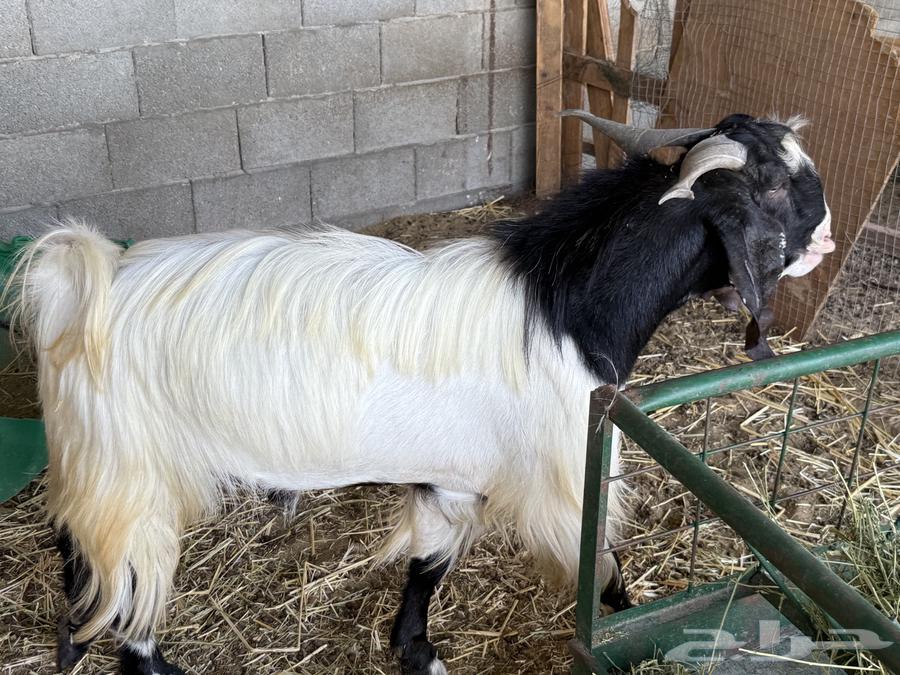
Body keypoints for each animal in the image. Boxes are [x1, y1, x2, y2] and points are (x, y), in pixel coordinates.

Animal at [4, 113, 834, 675]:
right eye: (775, 187)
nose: (827, 233)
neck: (565, 306)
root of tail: (80, 288)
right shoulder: (567, 477)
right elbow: (603, 565)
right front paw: (631, 623)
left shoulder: (450, 477)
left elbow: (426, 565)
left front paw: (415, 649)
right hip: (131, 470)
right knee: (121, 585)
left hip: (104, 465)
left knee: (80, 567)